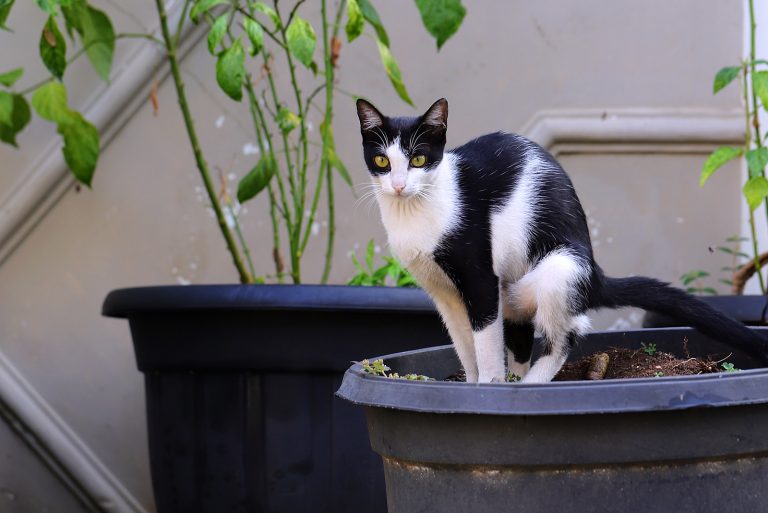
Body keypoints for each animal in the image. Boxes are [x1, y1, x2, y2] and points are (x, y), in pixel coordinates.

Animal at [356, 98, 768, 382]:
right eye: (382, 162)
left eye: (419, 159)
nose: (398, 185)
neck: (415, 212)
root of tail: (593, 274)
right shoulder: (443, 293)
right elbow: (463, 342)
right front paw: (467, 386)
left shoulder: (480, 279)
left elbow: (485, 342)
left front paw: (486, 389)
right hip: (514, 287)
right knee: (522, 336)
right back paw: (518, 379)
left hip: (556, 271)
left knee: (567, 335)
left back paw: (531, 385)